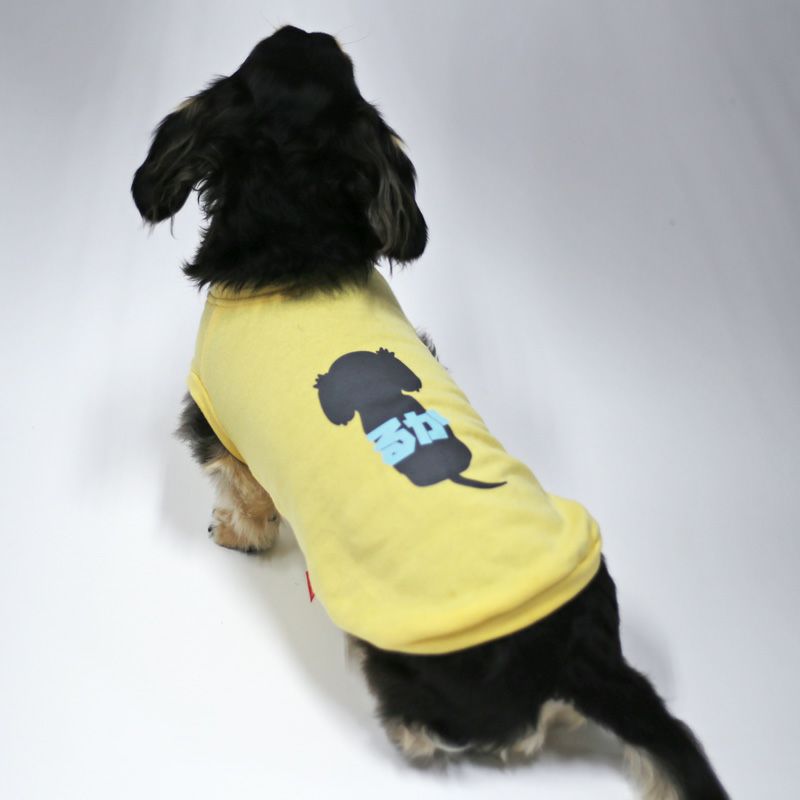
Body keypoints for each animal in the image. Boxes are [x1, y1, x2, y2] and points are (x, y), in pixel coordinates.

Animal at [132, 25, 728, 799]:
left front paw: (235, 533)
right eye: (310, 49)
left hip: (390, 652)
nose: (306, 26)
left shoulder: (217, 428)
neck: (297, 231)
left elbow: (246, 499)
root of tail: (574, 652)